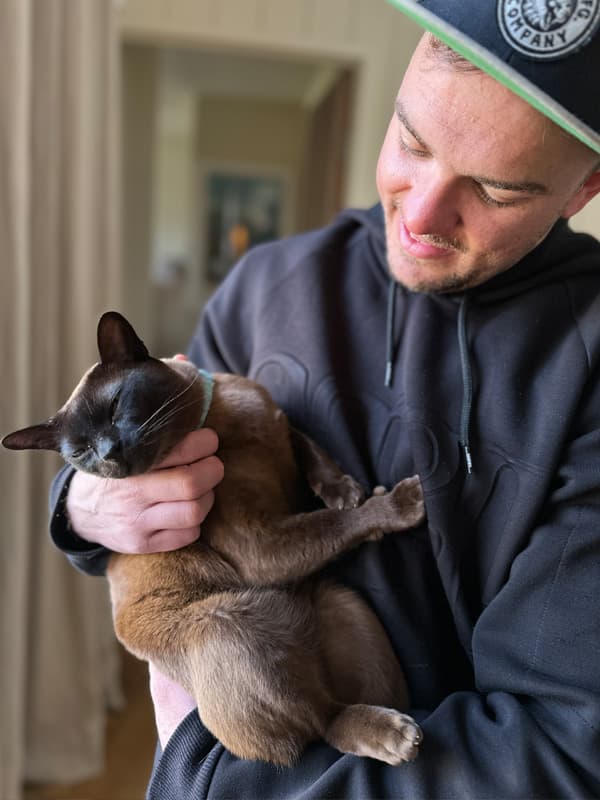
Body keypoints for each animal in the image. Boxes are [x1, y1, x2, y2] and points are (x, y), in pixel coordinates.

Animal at [3, 310, 426, 764]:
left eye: (115, 407)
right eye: (80, 452)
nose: (109, 453)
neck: (223, 420)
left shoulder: (283, 427)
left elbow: (313, 453)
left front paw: (344, 492)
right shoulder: (256, 544)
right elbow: (333, 522)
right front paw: (401, 503)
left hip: (342, 604)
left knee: (337, 710)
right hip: (225, 625)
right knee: (321, 724)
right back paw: (397, 735)